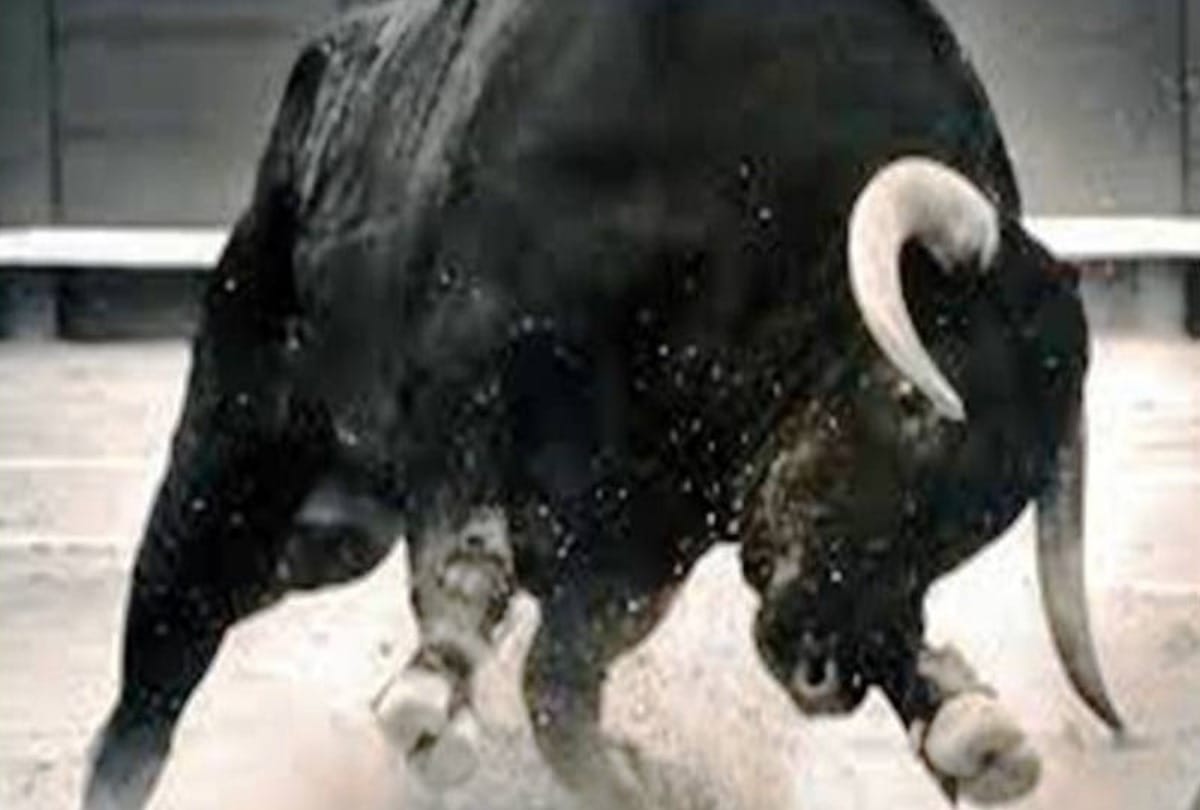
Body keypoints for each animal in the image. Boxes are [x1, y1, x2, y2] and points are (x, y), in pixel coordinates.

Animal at [83, 0, 1124, 808]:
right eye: (908, 399)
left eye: (990, 512)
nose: (826, 669)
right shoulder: (469, 382)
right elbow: (469, 570)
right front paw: (436, 698)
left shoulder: (645, 545)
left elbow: (559, 692)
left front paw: (960, 722)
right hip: (233, 469)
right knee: (151, 682)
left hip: (328, 538)